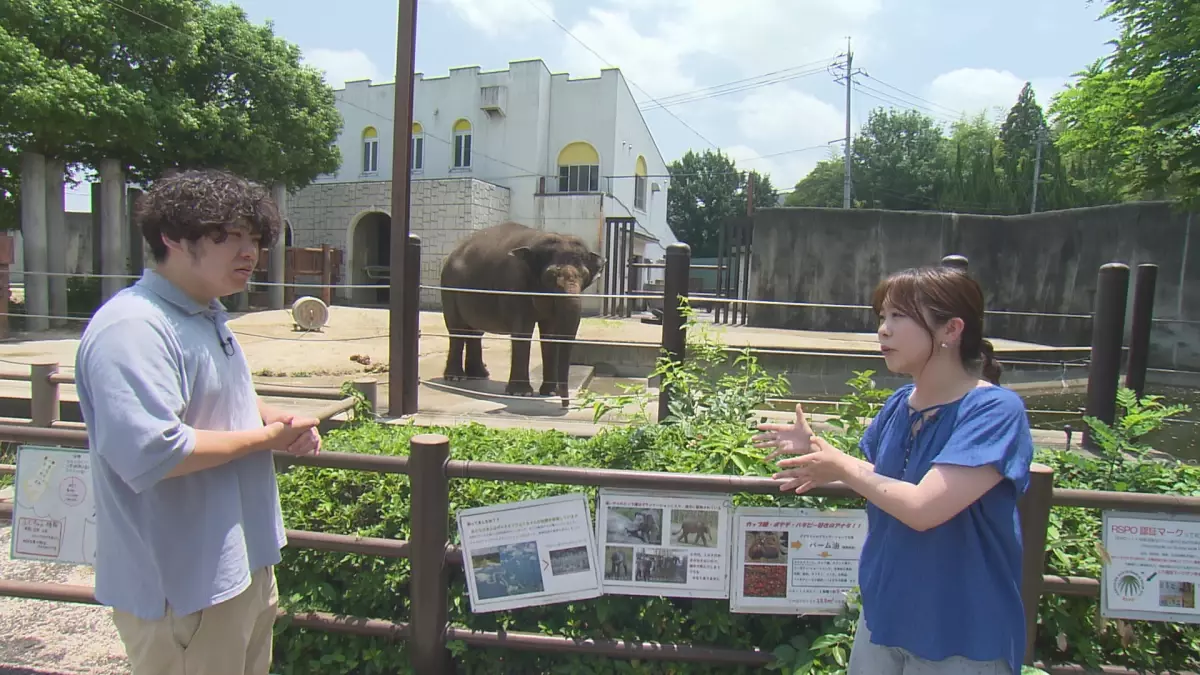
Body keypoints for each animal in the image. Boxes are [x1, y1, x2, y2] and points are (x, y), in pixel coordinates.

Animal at [439, 220, 604, 403]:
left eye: (585, 276)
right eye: (551, 276)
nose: (564, 404)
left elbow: (550, 334)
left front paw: (550, 392)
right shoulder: (516, 286)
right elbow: (523, 331)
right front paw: (521, 393)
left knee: (474, 331)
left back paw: (480, 375)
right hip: (449, 287)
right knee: (456, 329)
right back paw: (455, 378)